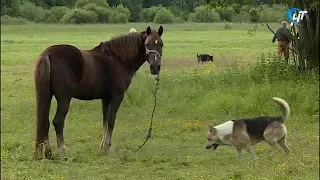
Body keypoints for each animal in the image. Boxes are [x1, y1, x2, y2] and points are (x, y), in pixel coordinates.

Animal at [35, 25, 165, 159]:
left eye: (161, 44)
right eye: (147, 44)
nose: (155, 67)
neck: (119, 59)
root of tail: (48, 54)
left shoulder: (106, 98)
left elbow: (105, 121)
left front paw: (102, 146)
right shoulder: (117, 96)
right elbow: (111, 121)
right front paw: (107, 147)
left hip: (47, 96)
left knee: (45, 122)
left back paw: (47, 153)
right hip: (64, 98)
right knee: (58, 121)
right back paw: (62, 151)